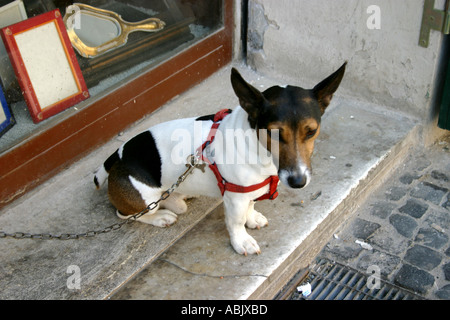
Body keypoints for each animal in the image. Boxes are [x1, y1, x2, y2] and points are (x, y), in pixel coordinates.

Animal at [95, 63, 346, 256]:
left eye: (311, 131)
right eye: (274, 133)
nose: (298, 182)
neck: (256, 145)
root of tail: (117, 156)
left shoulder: (248, 191)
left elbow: (251, 205)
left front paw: (252, 217)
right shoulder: (235, 198)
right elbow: (236, 222)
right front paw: (241, 240)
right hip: (145, 199)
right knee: (128, 214)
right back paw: (159, 217)